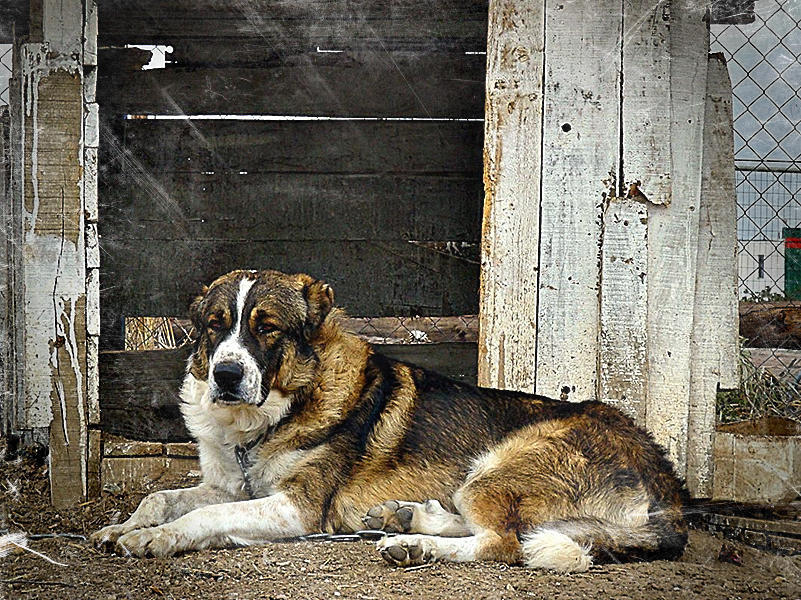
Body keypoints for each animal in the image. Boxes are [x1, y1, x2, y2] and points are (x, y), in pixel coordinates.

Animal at [89, 268, 688, 572]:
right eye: (216, 325)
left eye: (268, 328)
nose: (226, 374)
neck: (276, 411)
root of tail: (671, 491)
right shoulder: (230, 485)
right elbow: (161, 498)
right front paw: (125, 526)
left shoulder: (296, 509)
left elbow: (200, 518)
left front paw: (155, 540)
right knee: (500, 531)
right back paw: (408, 520)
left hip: (497, 467)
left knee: (504, 543)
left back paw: (419, 545)